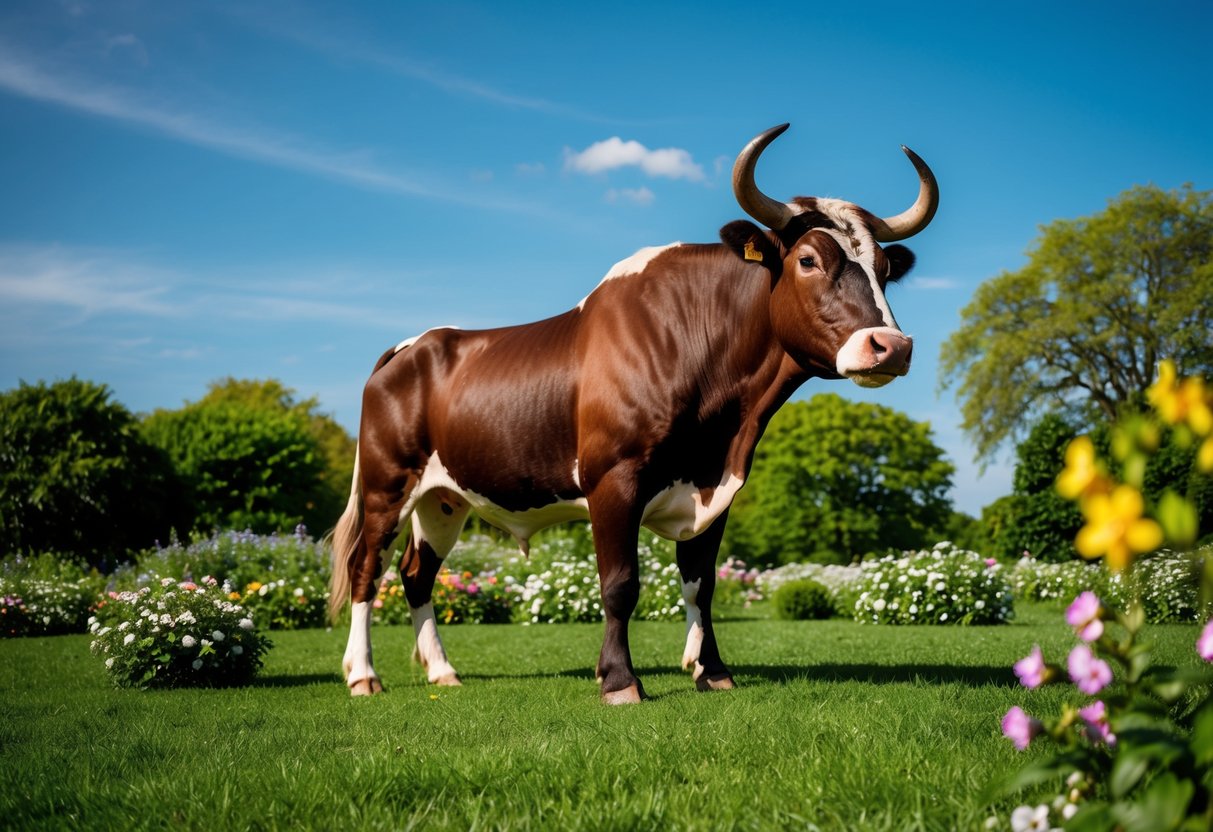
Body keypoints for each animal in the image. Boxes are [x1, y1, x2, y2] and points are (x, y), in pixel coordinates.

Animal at [329, 122, 936, 703]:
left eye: (885, 269)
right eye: (809, 260)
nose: (891, 346)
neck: (723, 425)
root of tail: (417, 344)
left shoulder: (716, 489)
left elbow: (701, 584)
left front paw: (712, 671)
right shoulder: (612, 480)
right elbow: (620, 583)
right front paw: (620, 680)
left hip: (445, 498)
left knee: (417, 575)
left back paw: (442, 672)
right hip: (388, 484)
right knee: (367, 570)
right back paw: (364, 676)